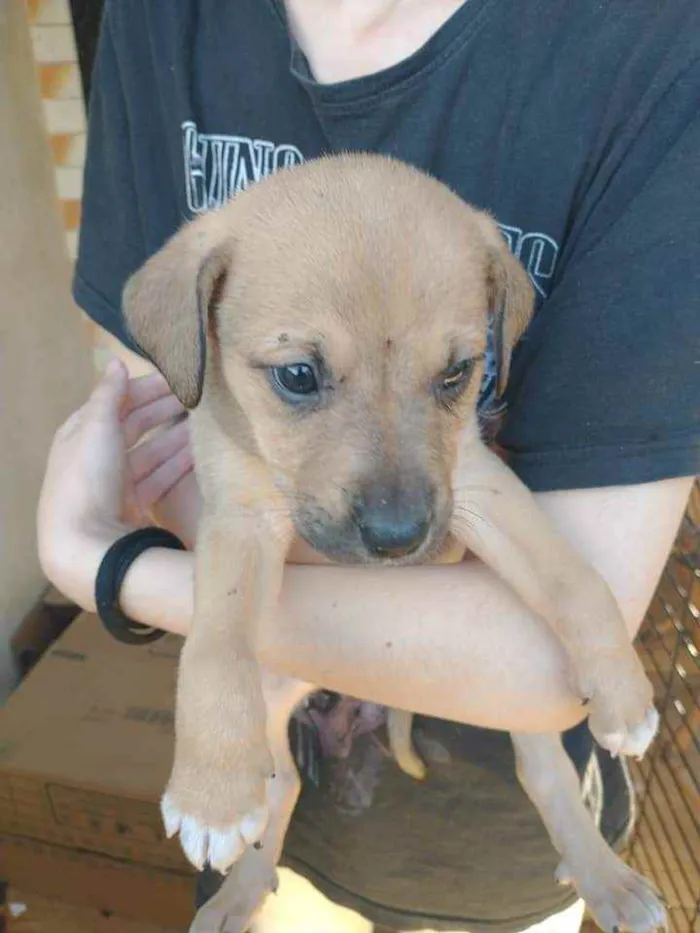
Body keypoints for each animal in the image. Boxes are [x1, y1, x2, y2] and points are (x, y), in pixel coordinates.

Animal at [124, 155, 668, 932]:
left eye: (457, 373)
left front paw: (626, 696)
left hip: (524, 717)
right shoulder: (237, 521)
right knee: (281, 789)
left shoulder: (481, 486)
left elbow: (577, 579)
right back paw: (237, 894)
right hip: (276, 715)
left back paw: (608, 879)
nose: (398, 540)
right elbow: (217, 643)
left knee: (545, 775)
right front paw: (212, 795)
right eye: (297, 375)